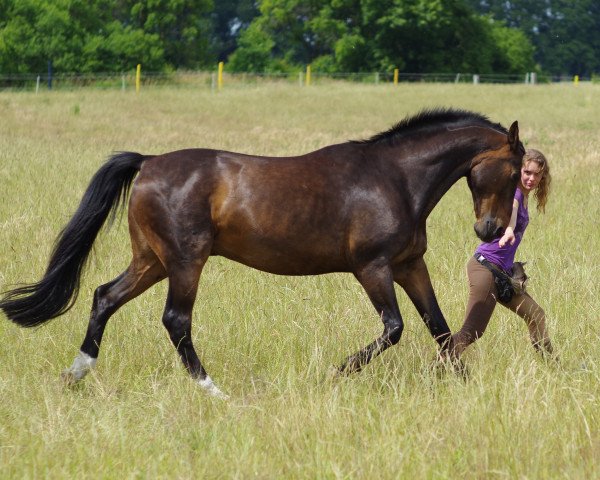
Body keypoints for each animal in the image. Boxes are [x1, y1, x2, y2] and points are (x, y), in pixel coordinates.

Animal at [0, 108, 524, 398]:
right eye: (516, 171)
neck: (396, 180)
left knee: (104, 297)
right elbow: (394, 329)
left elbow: (440, 329)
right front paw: (334, 374)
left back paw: (76, 374)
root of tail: (148, 162)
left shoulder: (409, 266)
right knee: (175, 320)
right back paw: (214, 392)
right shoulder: (372, 268)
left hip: (152, 260)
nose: (490, 229)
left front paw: (464, 386)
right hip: (185, 262)